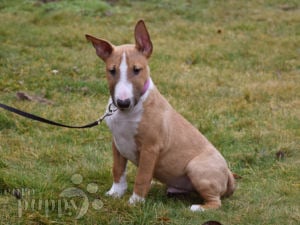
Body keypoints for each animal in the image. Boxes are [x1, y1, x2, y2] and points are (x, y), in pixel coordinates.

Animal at [85, 19, 236, 211]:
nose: (122, 102)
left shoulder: (150, 148)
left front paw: (135, 202)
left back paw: (197, 208)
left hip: (196, 167)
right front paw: (115, 193)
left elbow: (142, 177)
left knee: (216, 202)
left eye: (137, 70)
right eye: (112, 71)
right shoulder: (116, 143)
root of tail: (229, 175)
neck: (130, 111)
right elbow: (118, 170)